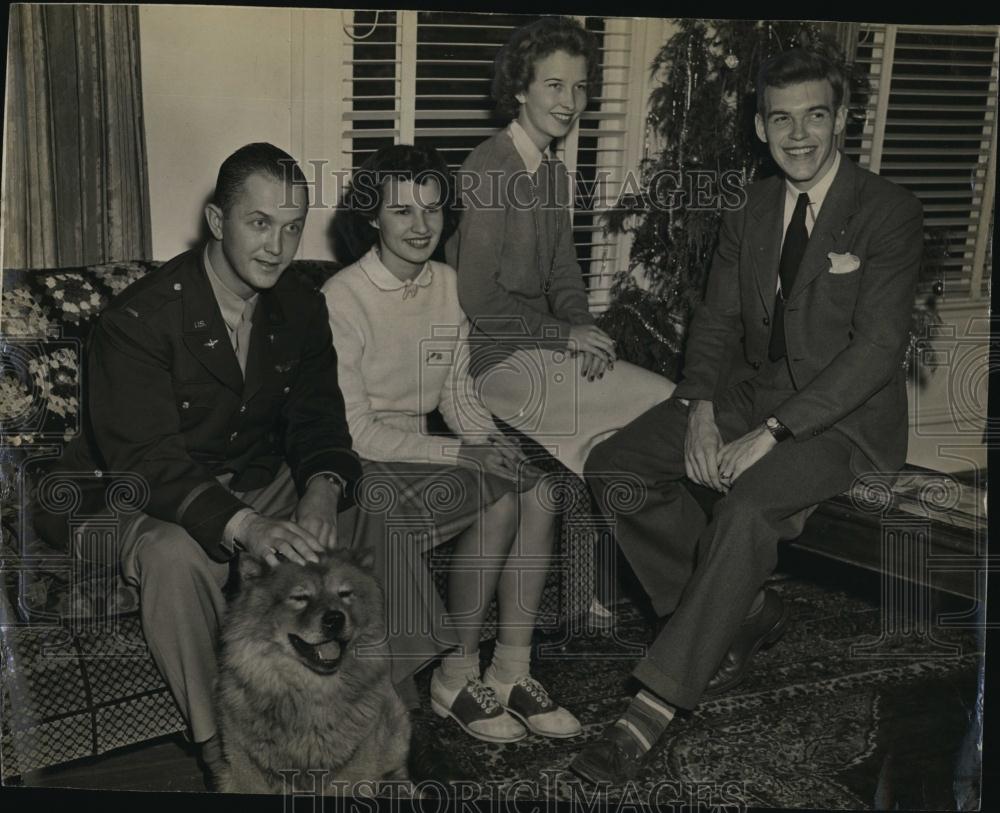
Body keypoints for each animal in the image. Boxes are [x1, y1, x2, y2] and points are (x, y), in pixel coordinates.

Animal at [216, 544, 410, 792]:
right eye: (300, 597)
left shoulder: (356, 760)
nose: (335, 618)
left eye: (345, 594)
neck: (311, 689)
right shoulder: (245, 762)